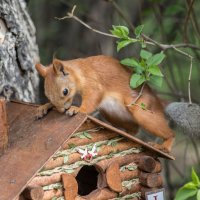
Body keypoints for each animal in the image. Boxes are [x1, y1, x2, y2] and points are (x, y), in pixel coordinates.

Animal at [35, 55, 174, 152]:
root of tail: (158, 101)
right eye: (48, 96)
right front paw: (44, 107)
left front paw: (78, 109)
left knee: (170, 133)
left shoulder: (93, 83)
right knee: (134, 129)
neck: (79, 72)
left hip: (141, 110)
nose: (62, 110)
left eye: (65, 91)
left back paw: (164, 146)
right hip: (113, 115)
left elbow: (92, 98)